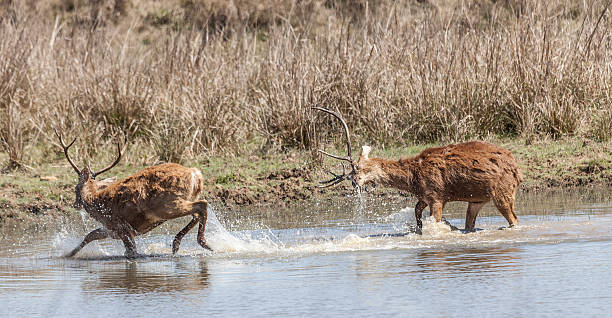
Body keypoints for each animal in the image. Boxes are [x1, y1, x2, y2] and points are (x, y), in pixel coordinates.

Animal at [55, 132, 213, 258]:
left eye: (76, 188)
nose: (75, 205)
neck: (98, 205)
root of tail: (195, 174)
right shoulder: (111, 230)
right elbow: (90, 235)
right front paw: (67, 254)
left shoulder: (121, 227)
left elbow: (131, 252)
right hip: (181, 200)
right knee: (197, 213)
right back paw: (177, 245)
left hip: (168, 204)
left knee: (202, 205)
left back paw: (203, 243)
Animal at [316, 107, 520, 234]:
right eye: (352, 171)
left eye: (360, 167)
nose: (354, 181)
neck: (413, 179)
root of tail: (517, 170)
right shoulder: (425, 196)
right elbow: (416, 211)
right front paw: (419, 228)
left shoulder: (437, 195)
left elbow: (434, 221)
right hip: (478, 198)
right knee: (470, 222)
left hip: (503, 191)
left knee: (515, 220)